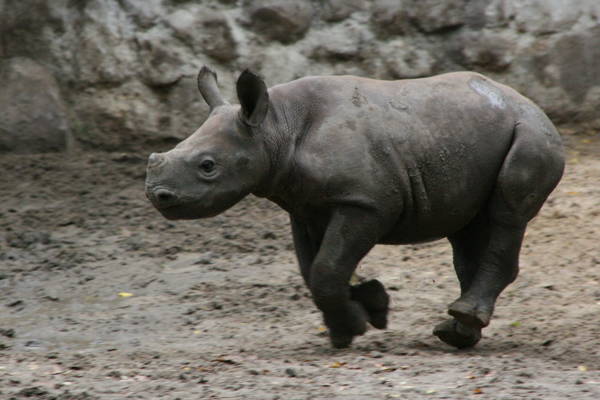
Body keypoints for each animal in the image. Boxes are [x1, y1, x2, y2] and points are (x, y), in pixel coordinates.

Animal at [144, 67, 564, 348]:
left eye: (208, 166)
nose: (157, 195)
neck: (275, 127)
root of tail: (532, 104)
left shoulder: (366, 202)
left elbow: (326, 267)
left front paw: (354, 327)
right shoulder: (304, 205)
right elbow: (313, 268)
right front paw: (368, 308)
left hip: (531, 135)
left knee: (507, 214)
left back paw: (462, 318)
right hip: (472, 140)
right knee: (467, 231)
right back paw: (457, 333)